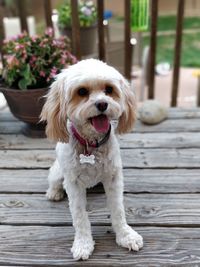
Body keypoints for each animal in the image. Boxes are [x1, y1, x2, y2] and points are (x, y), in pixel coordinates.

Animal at [40, 59, 143, 262]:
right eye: (81, 92)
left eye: (109, 89)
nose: (102, 104)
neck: (91, 143)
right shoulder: (73, 183)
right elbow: (80, 216)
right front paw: (83, 244)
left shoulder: (113, 178)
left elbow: (118, 210)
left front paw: (126, 236)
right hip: (58, 172)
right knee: (53, 181)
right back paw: (54, 192)